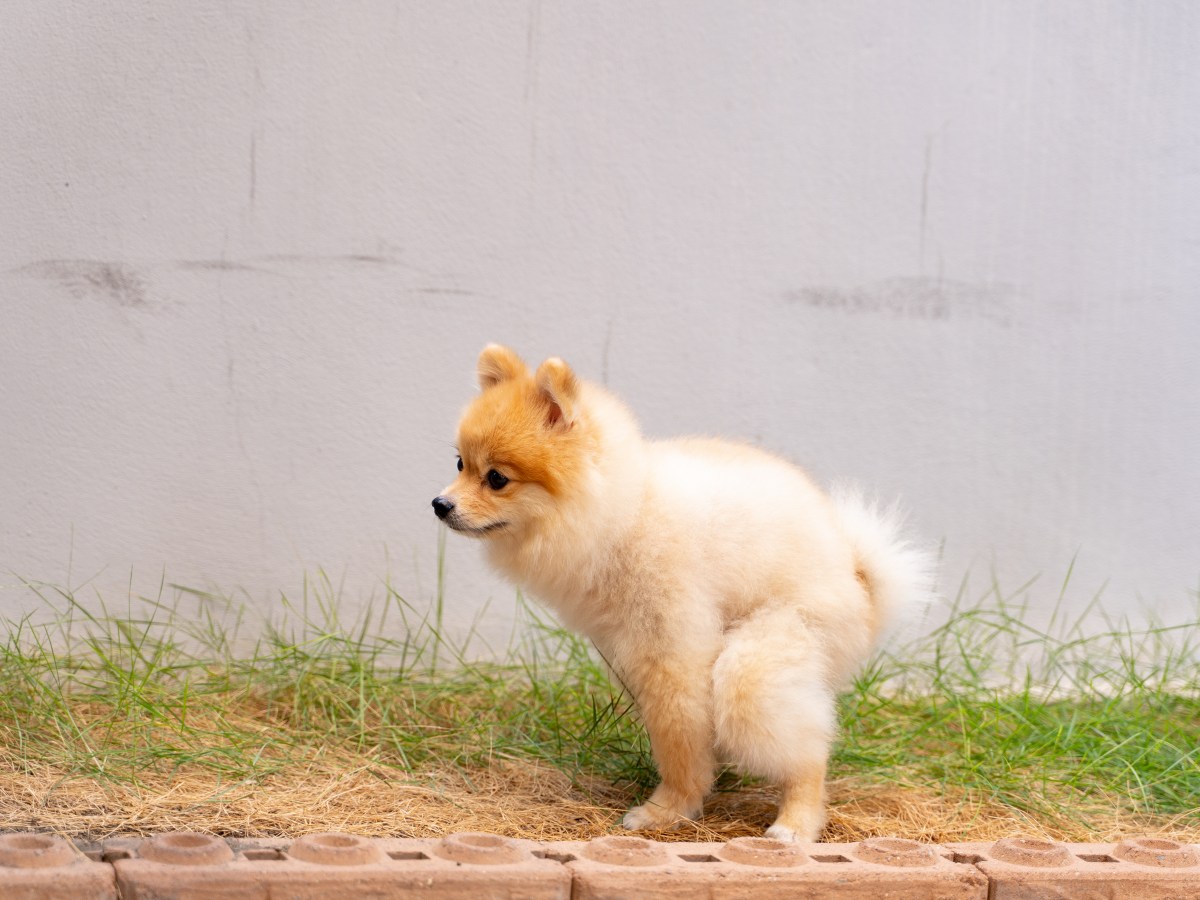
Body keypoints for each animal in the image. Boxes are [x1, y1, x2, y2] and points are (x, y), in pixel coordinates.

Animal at [434, 343, 936, 840]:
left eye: (496, 478)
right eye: (460, 464)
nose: (440, 504)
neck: (625, 513)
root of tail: (860, 577)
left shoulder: (670, 646)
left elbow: (677, 735)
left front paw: (668, 808)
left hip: (773, 650)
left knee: (797, 743)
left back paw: (795, 822)